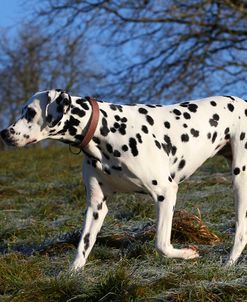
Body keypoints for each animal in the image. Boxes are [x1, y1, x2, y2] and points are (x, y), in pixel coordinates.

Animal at [0, 89, 247, 268]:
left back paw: (229, 263)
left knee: (241, 233)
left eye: (30, 112)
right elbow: (83, 246)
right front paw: (70, 276)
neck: (105, 130)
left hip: (240, 183)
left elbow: (161, 243)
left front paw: (187, 253)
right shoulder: (97, 206)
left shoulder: (165, 193)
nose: (4, 133)